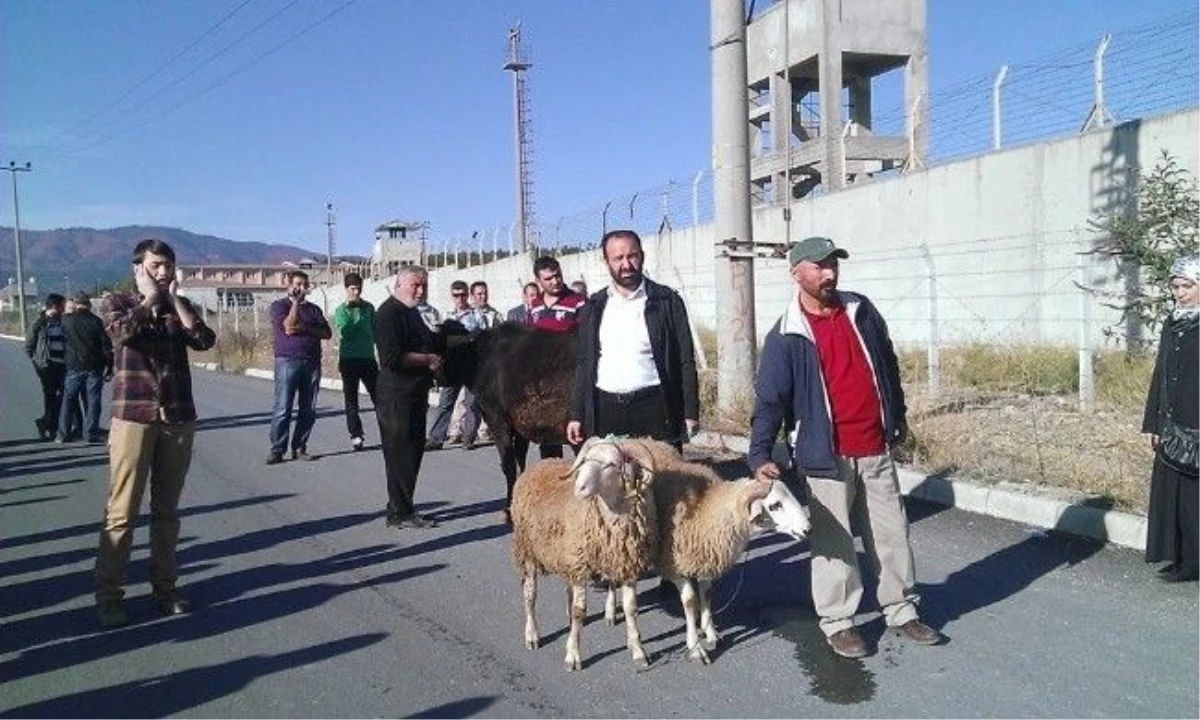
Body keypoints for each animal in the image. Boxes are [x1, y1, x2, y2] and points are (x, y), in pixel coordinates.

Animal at [506, 436, 657, 672]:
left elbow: (631, 609)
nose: (579, 487)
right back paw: (532, 635)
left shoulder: (625, 565)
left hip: (566, 554)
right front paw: (573, 655)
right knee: (530, 595)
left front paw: (638, 651)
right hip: (527, 550)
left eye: (612, 464)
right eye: (585, 460)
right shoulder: (579, 565)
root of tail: (540, 463)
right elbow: (580, 611)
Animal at [604, 441, 811, 667]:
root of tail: (630, 440)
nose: (808, 529)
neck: (708, 510)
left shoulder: (706, 559)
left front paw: (711, 633)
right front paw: (695, 647)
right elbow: (690, 602)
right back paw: (616, 620)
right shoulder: (677, 564)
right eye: (775, 505)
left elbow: (707, 595)